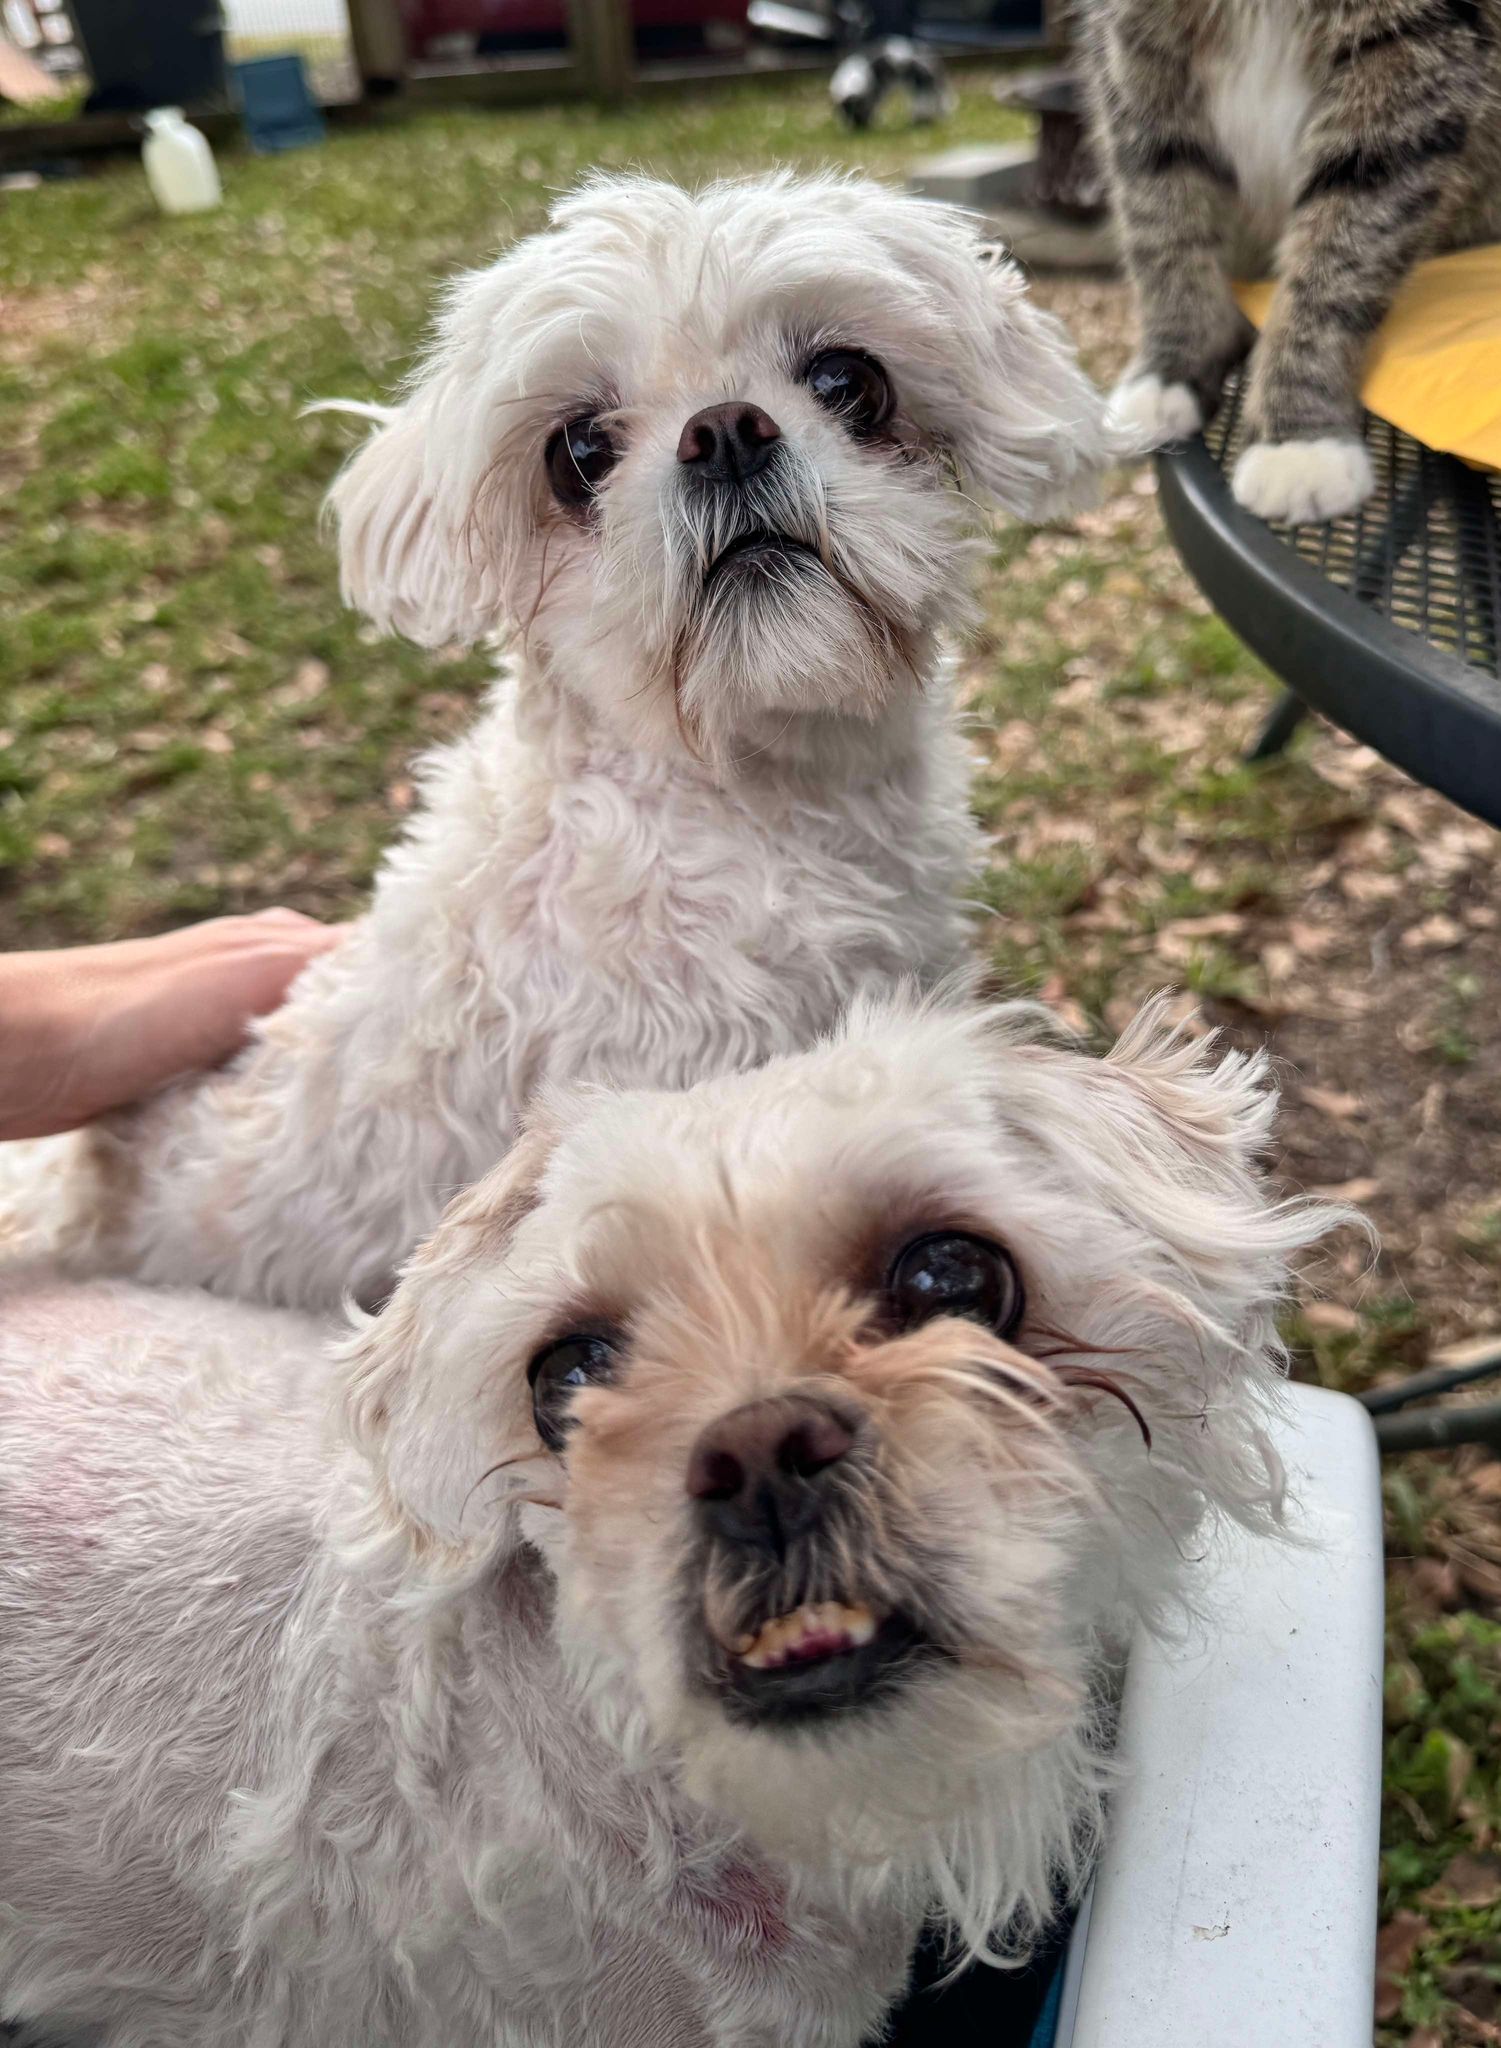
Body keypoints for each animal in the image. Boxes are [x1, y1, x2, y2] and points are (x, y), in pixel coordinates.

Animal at [1081, 0, 1498, 520]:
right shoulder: (1133, 47)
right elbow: (1160, 221)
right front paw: (1173, 368)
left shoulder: (1413, 50)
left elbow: (1338, 252)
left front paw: (1297, 438)